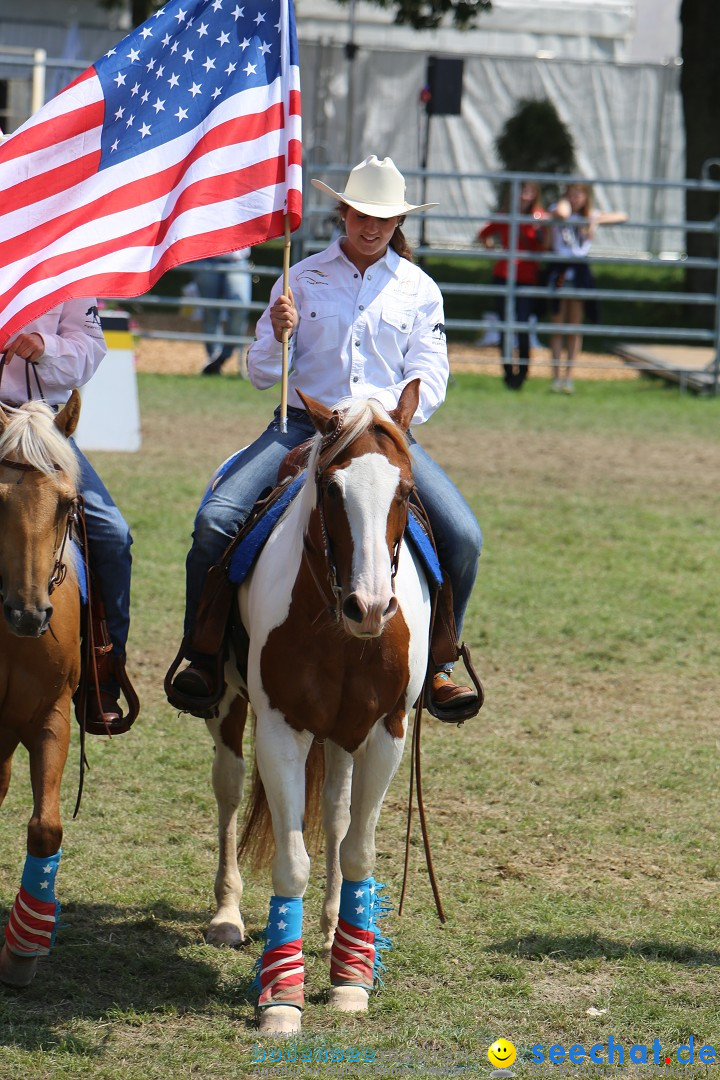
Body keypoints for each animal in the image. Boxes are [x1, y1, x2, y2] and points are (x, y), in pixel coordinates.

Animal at [204, 382, 427, 1036]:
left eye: (406, 492)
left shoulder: (385, 732)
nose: (370, 606)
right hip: (228, 706)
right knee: (229, 789)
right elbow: (291, 861)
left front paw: (352, 979)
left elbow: (356, 849)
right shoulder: (282, 729)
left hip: (343, 737)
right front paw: (281, 996)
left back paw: (330, 930)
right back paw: (227, 915)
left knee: (333, 814)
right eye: (331, 488)